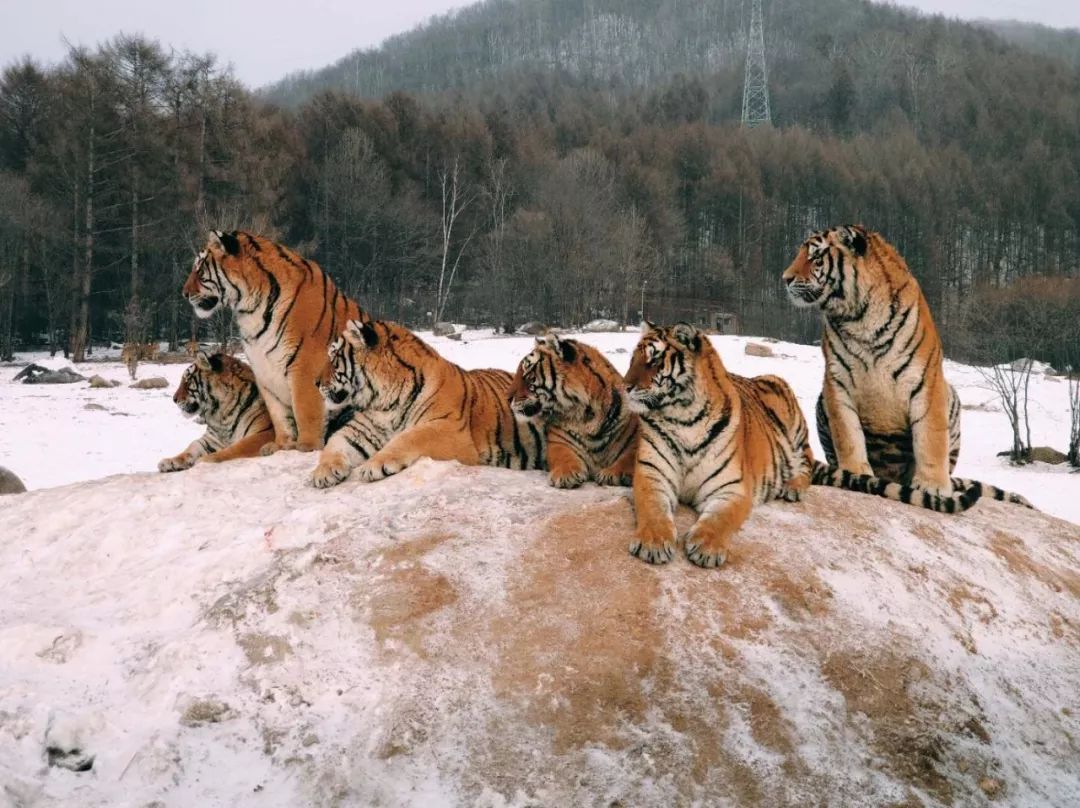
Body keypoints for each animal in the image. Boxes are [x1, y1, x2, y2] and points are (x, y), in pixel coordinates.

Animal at [183, 232, 369, 460]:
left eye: (200, 270)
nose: (184, 293)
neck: (249, 310)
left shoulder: (305, 367)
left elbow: (306, 411)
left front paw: (306, 447)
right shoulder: (264, 370)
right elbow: (279, 416)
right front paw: (281, 446)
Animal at [313, 319, 548, 486]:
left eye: (333, 358)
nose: (315, 382)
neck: (384, 401)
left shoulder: (450, 429)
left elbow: (409, 437)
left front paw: (373, 466)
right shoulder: (360, 430)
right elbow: (334, 443)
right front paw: (323, 473)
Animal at [507, 332, 639, 486]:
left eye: (528, 375)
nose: (507, 398)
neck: (587, 416)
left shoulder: (633, 436)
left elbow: (629, 456)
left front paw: (613, 474)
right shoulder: (558, 441)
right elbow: (563, 455)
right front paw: (565, 475)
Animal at [622, 321, 984, 566]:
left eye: (653, 360)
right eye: (632, 359)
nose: (625, 387)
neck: (683, 417)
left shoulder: (733, 488)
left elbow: (719, 520)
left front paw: (707, 547)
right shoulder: (652, 475)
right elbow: (653, 510)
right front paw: (654, 543)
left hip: (789, 408)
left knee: (806, 465)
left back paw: (792, 487)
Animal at [786, 223, 1036, 507]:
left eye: (815, 257)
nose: (785, 278)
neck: (858, 316)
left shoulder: (926, 381)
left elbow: (931, 437)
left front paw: (932, 487)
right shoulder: (837, 382)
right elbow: (848, 436)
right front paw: (855, 473)